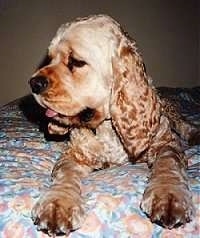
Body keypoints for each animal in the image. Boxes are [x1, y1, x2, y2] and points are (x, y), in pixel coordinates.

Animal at [28, 14, 198, 236]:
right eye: (49, 59)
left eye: (76, 62)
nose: (33, 83)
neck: (107, 126)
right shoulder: (74, 155)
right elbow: (65, 175)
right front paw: (58, 203)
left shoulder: (166, 143)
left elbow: (168, 163)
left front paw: (168, 195)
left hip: (167, 109)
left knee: (181, 122)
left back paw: (194, 133)